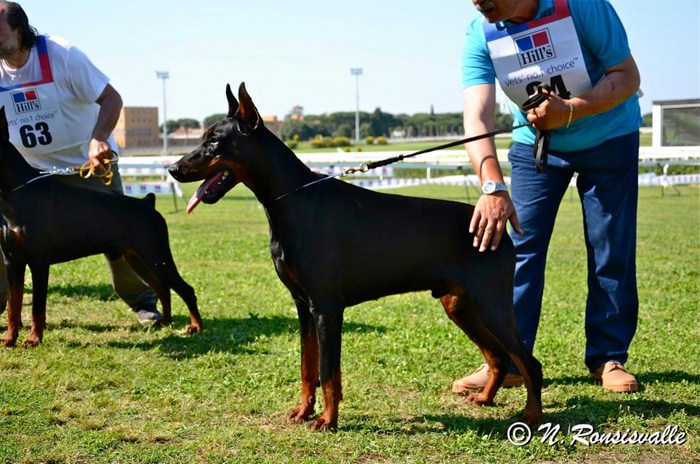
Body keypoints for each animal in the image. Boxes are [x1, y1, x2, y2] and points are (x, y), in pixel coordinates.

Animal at [168, 83, 542, 430]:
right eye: (203, 137)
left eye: (215, 141)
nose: (173, 169)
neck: (293, 200)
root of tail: (499, 227)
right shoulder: (303, 307)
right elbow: (308, 368)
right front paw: (303, 412)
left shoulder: (326, 308)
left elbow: (328, 372)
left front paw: (326, 420)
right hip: (459, 304)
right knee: (498, 356)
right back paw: (485, 398)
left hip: (491, 303)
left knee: (529, 362)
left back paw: (532, 416)